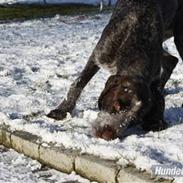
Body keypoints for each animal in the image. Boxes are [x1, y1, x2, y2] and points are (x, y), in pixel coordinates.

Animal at [47, 0, 183, 140]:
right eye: (117, 105)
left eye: (134, 119)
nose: (107, 135)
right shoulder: (99, 55)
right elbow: (79, 82)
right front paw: (62, 109)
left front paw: (156, 120)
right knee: (171, 60)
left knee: (172, 60)